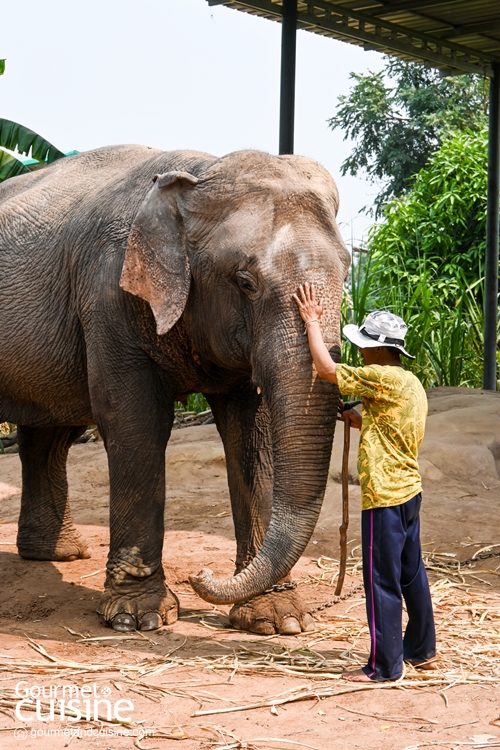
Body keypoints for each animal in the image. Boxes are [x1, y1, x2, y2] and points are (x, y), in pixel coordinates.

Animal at [0, 145, 350, 636]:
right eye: (245, 281)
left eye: (348, 269)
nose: (203, 575)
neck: (198, 172)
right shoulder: (109, 296)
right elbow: (135, 422)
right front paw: (138, 618)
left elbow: (252, 433)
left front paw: (277, 619)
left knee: (49, 434)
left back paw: (59, 555)